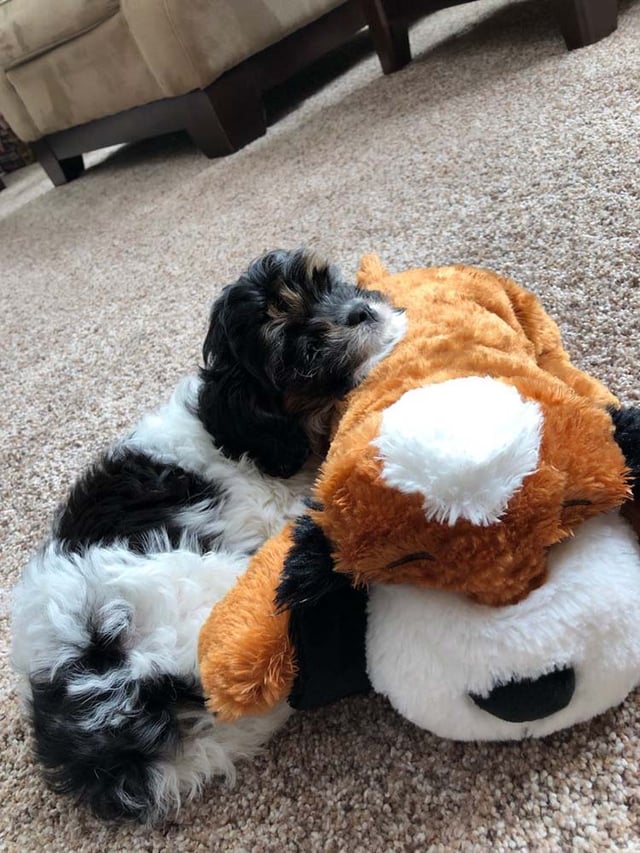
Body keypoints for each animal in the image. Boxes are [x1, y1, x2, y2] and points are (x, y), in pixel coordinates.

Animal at [10, 250, 404, 824]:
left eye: (326, 283)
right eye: (302, 350)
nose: (361, 312)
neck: (241, 432)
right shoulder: (267, 505)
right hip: (198, 592)